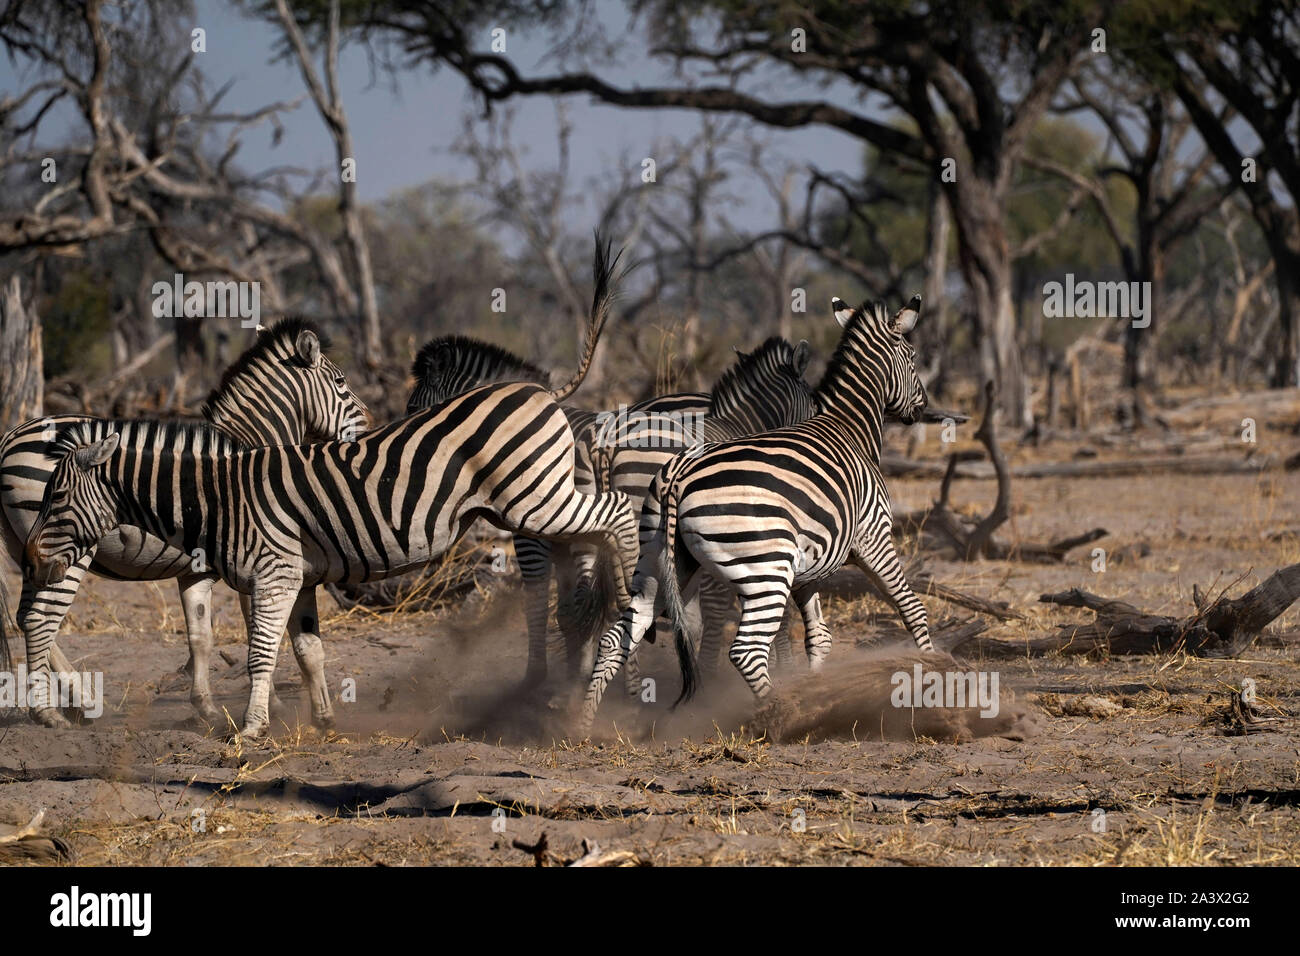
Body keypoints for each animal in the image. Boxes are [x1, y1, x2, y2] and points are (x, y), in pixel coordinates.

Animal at [0, 319, 369, 726]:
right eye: (341, 382)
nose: (369, 426)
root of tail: (9, 439)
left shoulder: (201, 568)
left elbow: (202, 637)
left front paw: (206, 706)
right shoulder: (258, 553)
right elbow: (253, 627)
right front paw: (272, 704)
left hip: (28, 550)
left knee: (26, 617)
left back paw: (83, 701)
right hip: (66, 549)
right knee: (41, 619)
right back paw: (49, 712)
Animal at [579, 296, 931, 732]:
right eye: (913, 356)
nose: (923, 408)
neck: (850, 427)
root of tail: (678, 475)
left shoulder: (809, 570)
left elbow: (819, 636)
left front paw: (816, 688)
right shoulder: (874, 540)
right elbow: (912, 609)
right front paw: (934, 675)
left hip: (661, 561)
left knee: (621, 632)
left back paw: (584, 723)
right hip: (765, 570)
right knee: (745, 650)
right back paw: (785, 716)